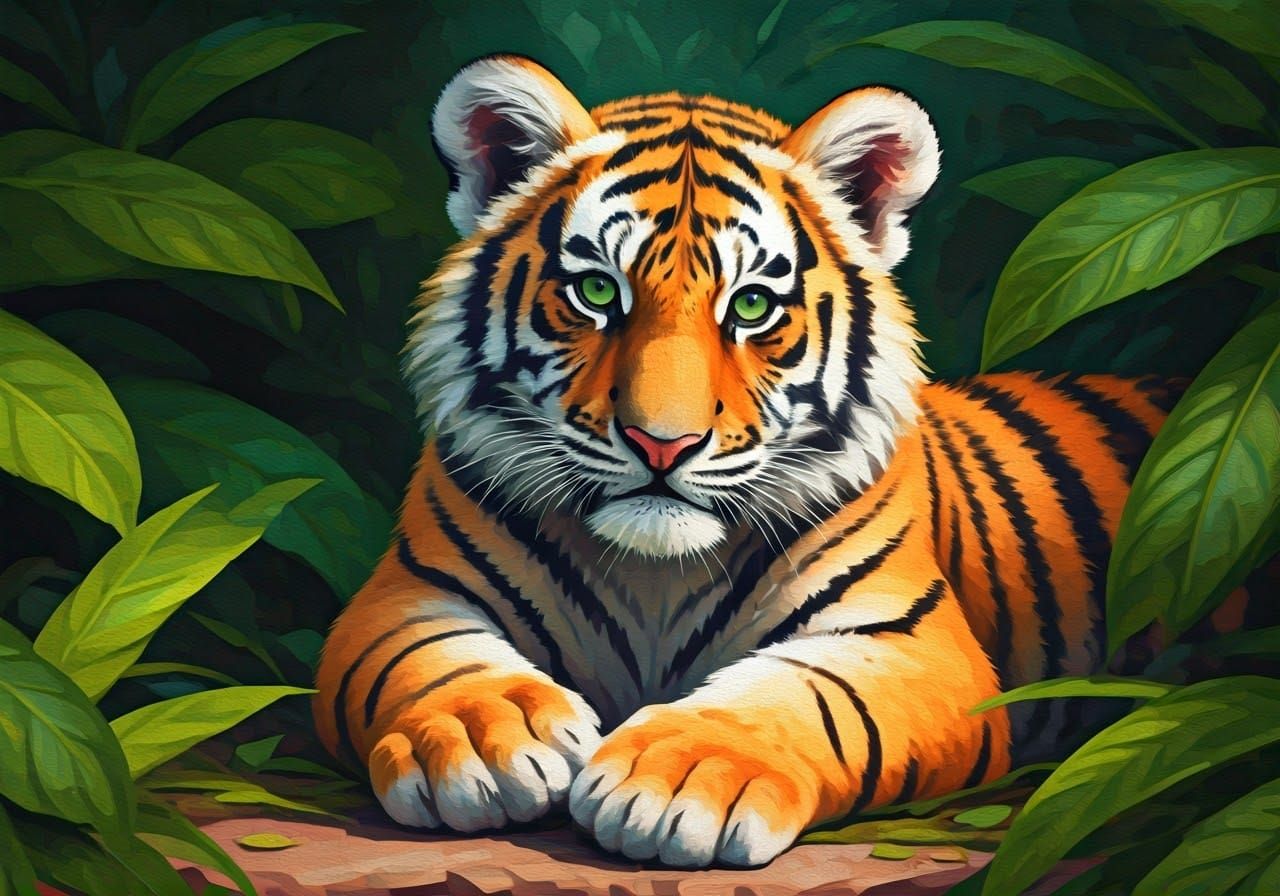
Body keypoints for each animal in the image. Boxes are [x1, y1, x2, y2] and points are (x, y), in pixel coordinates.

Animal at [315, 54, 1183, 868]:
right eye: (597, 292)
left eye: (753, 306)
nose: (661, 443)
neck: (653, 579)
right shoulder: (405, 594)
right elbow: (424, 661)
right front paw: (482, 737)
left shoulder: (915, 641)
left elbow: (809, 697)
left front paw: (684, 777)